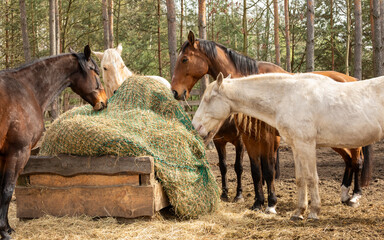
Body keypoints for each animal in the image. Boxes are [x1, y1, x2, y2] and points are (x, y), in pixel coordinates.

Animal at [0, 45, 108, 238]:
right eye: (95, 71)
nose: (104, 101)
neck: (26, 90)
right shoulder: (17, 152)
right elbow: (7, 190)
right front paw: (5, 231)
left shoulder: (3, 155)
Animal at [172, 31, 370, 214]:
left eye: (184, 59)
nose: (175, 92)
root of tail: (351, 79)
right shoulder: (249, 139)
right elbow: (255, 171)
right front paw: (258, 202)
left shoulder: (268, 139)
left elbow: (268, 170)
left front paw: (271, 203)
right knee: (348, 160)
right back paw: (344, 193)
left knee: (357, 160)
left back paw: (355, 195)